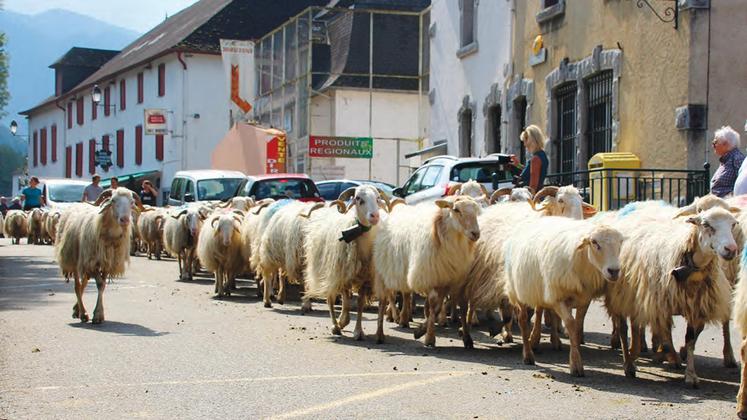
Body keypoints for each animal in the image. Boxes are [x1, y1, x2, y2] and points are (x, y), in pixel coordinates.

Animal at [55, 189, 145, 324]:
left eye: (132, 202)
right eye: (113, 200)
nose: (124, 220)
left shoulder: (107, 263)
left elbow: (102, 285)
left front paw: (98, 314)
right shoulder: (93, 262)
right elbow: (99, 284)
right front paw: (97, 315)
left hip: (86, 262)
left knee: (83, 284)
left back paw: (77, 310)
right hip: (75, 259)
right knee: (77, 286)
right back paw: (82, 314)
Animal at [304, 185, 388, 340]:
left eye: (378, 198)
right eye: (358, 198)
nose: (375, 216)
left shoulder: (366, 278)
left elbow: (359, 303)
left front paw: (358, 331)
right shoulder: (343, 274)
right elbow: (346, 300)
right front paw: (344, 322)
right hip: (329, 272)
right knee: (330, 299)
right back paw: (336, 326)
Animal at [372, 195, 482, 346]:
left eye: (476, 211)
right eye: (456, 209)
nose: (476, 233)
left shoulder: (449, 279)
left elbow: (437, 308)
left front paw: (420, 331)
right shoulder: (429, 276)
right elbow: (433, 306)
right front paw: (429, 338)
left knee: (406, 294)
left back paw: (404, 319)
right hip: (383, 272)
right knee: (383, 301)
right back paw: (380, 333)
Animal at [502, 217, 624, 378]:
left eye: (620, 243)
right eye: (594, 242)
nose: (614, 271)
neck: (582, 260)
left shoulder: (584, 299)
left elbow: (577, 326)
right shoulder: (557, 298)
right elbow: (571, 324)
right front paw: (576, 364)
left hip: (540, 290)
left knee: (540, 310)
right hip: (519, 291)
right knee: (523, 320)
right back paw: (528, 355)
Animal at [604, 206, 740, 384]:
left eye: (733, 224)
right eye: (706, 224)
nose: (731, 250)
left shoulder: (695, 307)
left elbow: (690, 339)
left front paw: (690, 373)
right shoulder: (659, 305)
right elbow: (665, 335)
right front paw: (665, 355)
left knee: (637, 326)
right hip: (622, 295)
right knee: (623, 328)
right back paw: (630, 361)